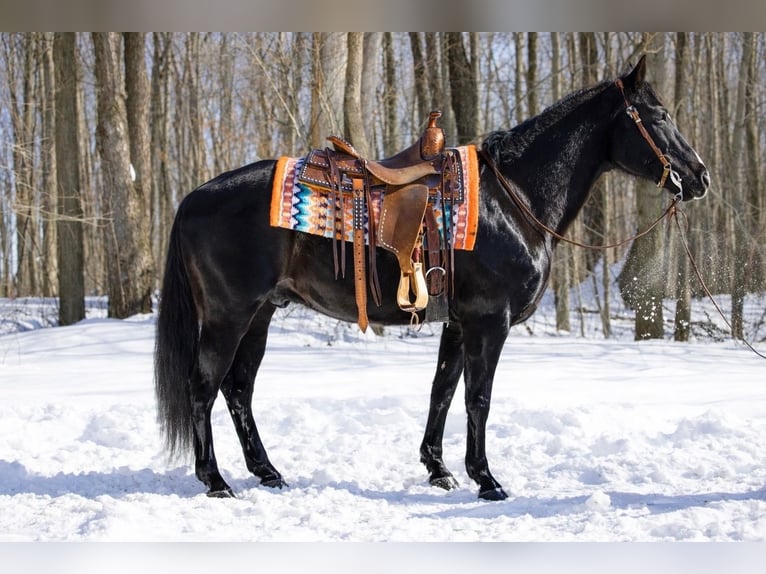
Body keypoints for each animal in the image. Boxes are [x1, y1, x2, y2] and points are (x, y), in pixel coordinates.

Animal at [154, 56, 710, 500]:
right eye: (660, 116)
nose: (700, 176)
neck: (513, 198)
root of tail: (192, 198)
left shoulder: (459, 323)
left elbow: (442, 391)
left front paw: (439, 469)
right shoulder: (489, 321)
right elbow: (478, 398)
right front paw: (487, 480)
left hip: (261, 314)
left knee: (238, 391)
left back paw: (268, 472)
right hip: (229, 316)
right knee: (204, 388)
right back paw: (216, 481)